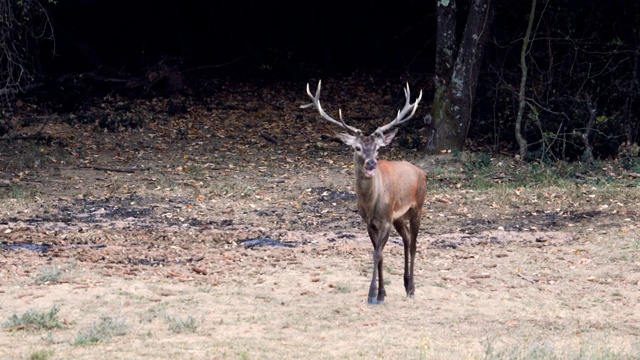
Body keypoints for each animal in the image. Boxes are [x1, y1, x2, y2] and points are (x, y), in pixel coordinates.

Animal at [302, 81, 430, 304]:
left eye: (378, 149)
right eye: (357, 148)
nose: (371, 163)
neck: (371, 204)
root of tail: (421, 172)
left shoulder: (386, 219)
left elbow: (377, 254)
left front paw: (372, 295)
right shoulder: (368, 222)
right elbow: (379, 254)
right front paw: (382, 293)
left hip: (417, 207)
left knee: (414, 244)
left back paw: (412, 289)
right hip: (399, 216)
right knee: (406, 239)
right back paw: (406, 284)